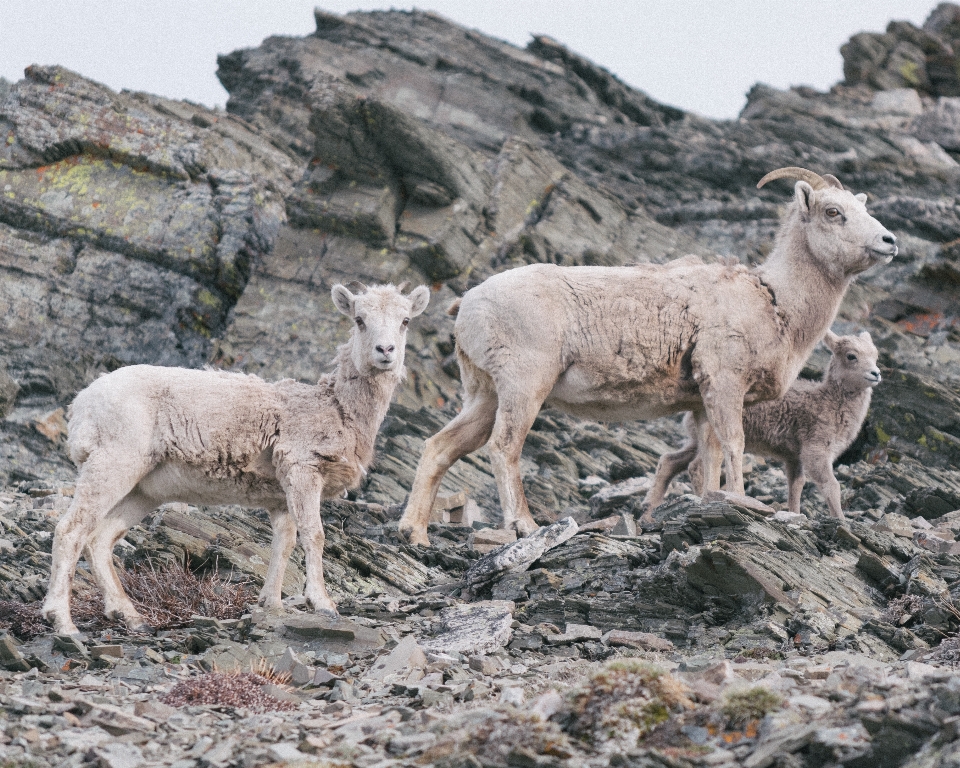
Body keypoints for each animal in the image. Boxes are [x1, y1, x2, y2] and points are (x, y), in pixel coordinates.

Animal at [44, 280, 428, 636]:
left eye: (405, 320)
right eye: (360, 320)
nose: (385, 350)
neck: (337, 408)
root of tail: (83, 402)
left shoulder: (281, 498)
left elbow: (284, 544)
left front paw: (271, 605)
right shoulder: (303, 472)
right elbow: (314, 535)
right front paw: (323, 604)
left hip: (143, 491)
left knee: (100, 538)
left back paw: (130, 617)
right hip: (112, 466)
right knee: (71, 530)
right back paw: (63, 623)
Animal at [640, 330, 880, 520]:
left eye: (875, 355)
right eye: (851, 356)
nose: (876, 374)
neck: (828, 401)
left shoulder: (794, 457)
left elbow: (796, 487)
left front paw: (794, 515)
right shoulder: (816, 451)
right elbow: (832, 486)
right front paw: (841, 521)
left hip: (694, 440)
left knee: (670, 461)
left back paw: (649, 514)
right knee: (697, 467)